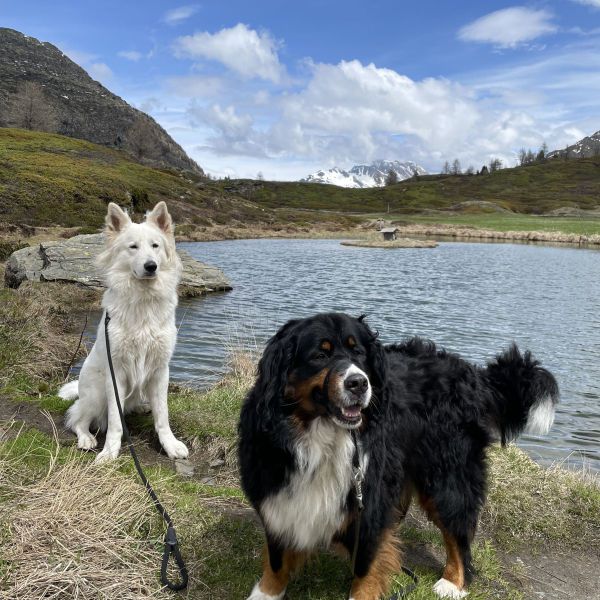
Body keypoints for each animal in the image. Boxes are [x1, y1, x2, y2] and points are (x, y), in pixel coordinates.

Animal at [59, 203, 189, 464]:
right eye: (133, 247)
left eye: (155, 246)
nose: (151, 266)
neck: (143, 299)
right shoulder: (116, 372)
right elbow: (115, 422)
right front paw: (109, 452)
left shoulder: (160, 370)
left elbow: (162, 415)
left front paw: (170, 445)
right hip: (96, 393)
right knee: (77, 419)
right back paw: (86, 439)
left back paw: (140, 407)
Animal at [238, 314, 556, 600]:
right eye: (320, 354)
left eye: (359, 353)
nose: (359, 383)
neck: (322, 434)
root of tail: (471, 374)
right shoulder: (277, 496)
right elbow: (277, 560)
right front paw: (266, 594)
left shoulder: (370, 503)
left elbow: (366, 567)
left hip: (447, 476)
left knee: (458, 531)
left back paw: (454, 582)